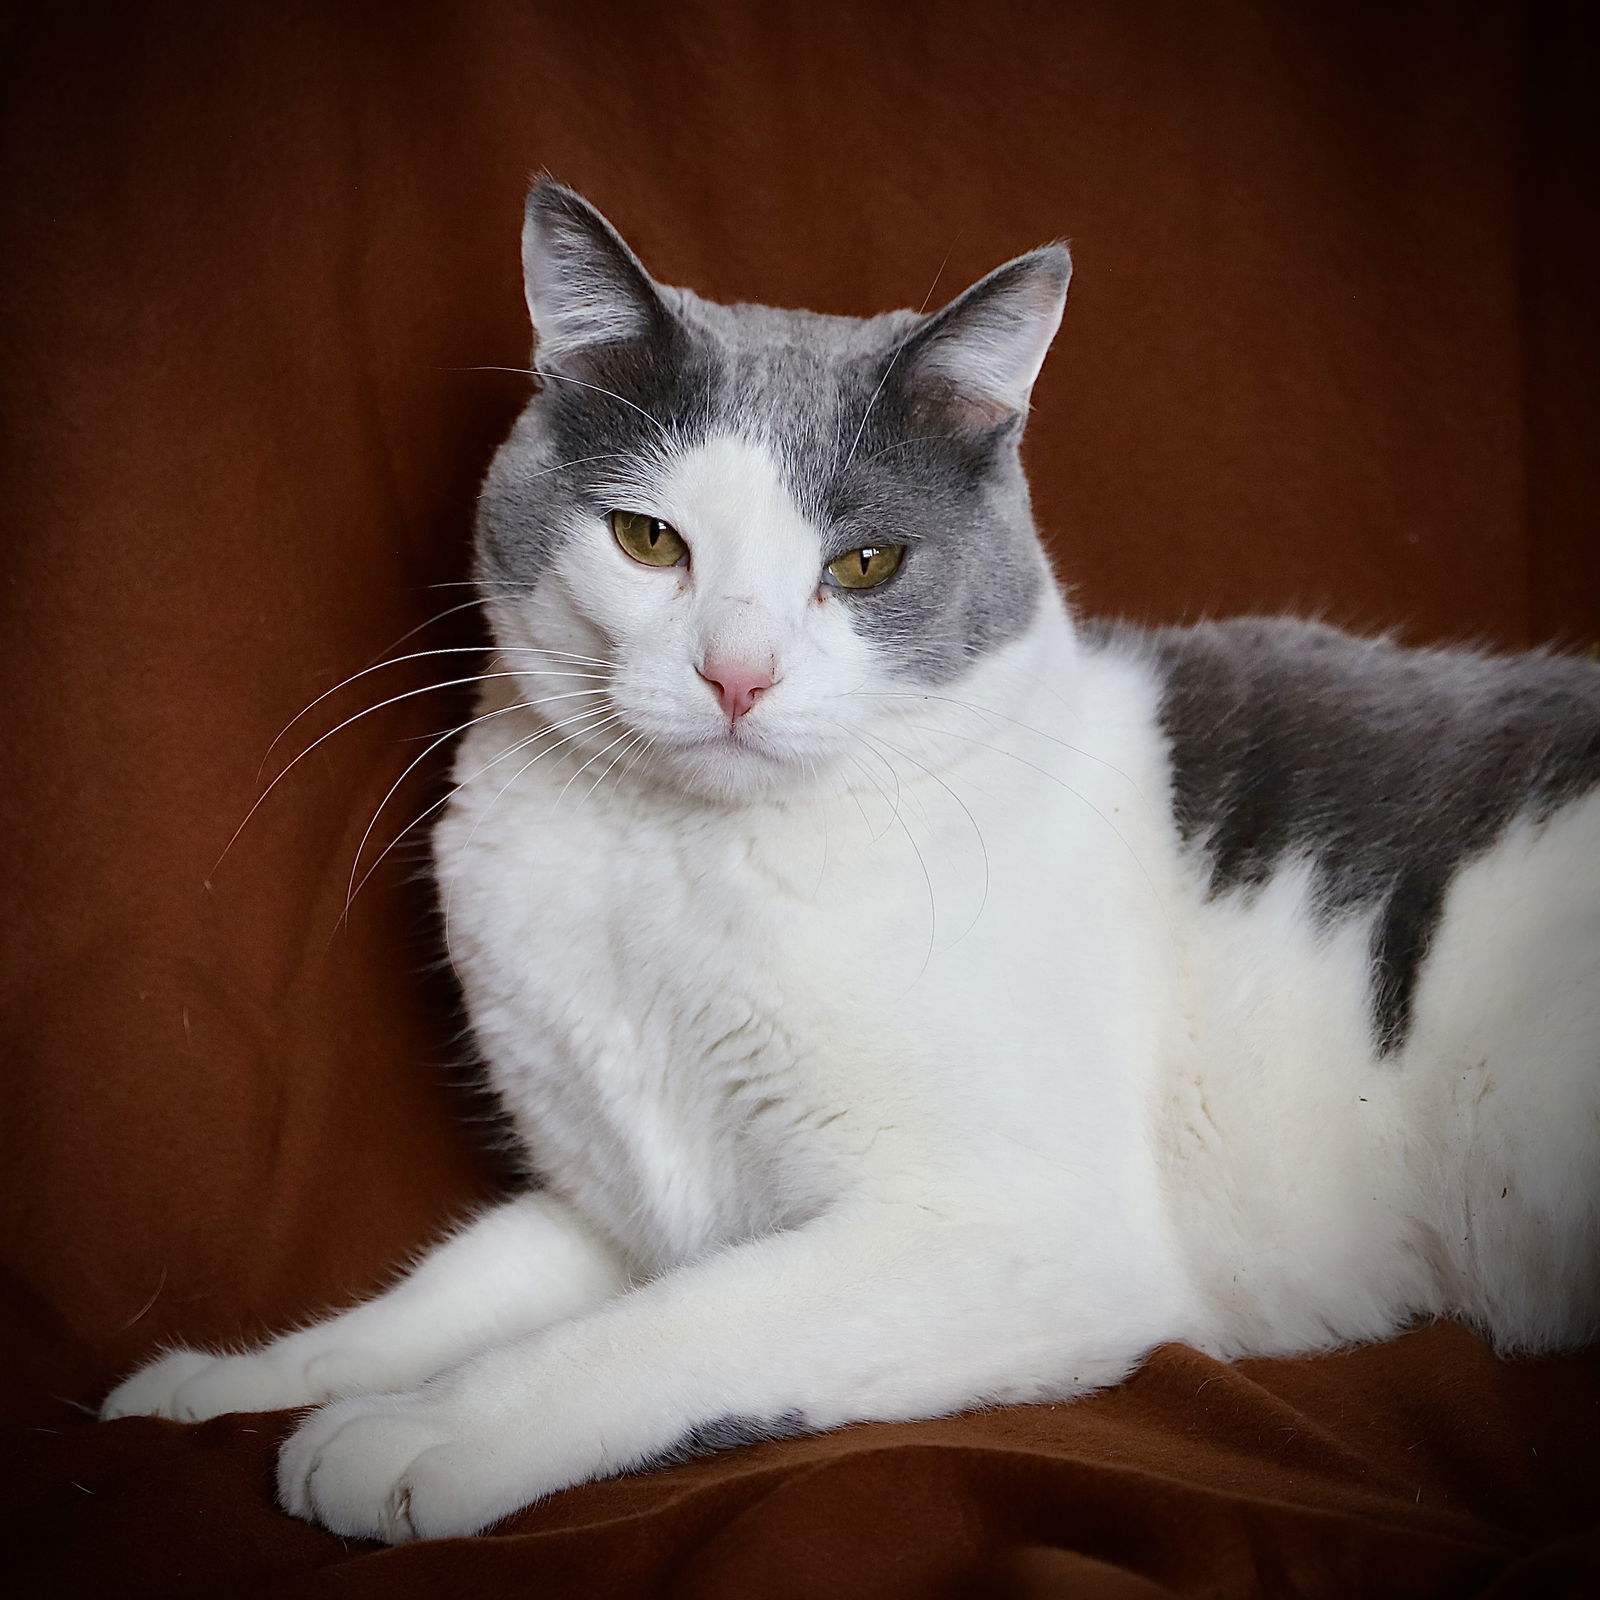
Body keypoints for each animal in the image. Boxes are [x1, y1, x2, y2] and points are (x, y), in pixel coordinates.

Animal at [100, 181, 1600, 1542]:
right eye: (646, 539)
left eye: (865, 565)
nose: (738, 672)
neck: (671, 867)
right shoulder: (608, 1207)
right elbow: (454, 1282)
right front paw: (226, 1387)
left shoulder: (1014, 1229)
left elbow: (677, 1320)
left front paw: (422, 1431)